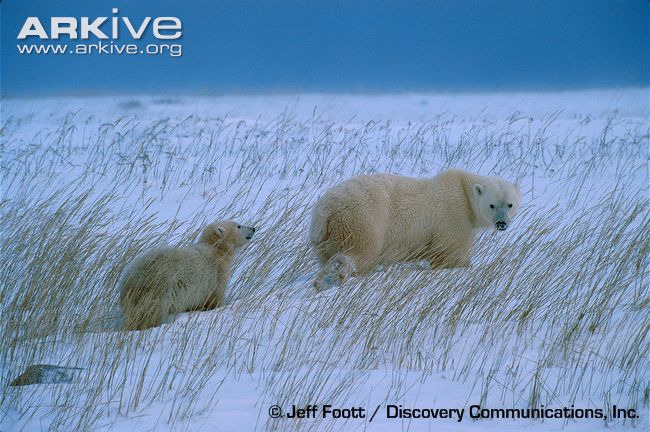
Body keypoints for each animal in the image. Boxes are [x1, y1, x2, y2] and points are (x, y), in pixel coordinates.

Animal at [119, 220, 255, 330]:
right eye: (238, 225)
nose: (253, 228)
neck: (215, 249)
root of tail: (130, 280)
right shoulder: (215, 275)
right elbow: (215, 298)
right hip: (157, 290)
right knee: (150, 313)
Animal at [309, 169, 521, 291]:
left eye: (509, 204)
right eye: (492, 205)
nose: (501, 223)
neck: (463, 191)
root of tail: (325, 211)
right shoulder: (453, 217)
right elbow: (451, 253)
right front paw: (461, 266)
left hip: (325, 238)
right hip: (363, 220)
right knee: (358, 253)